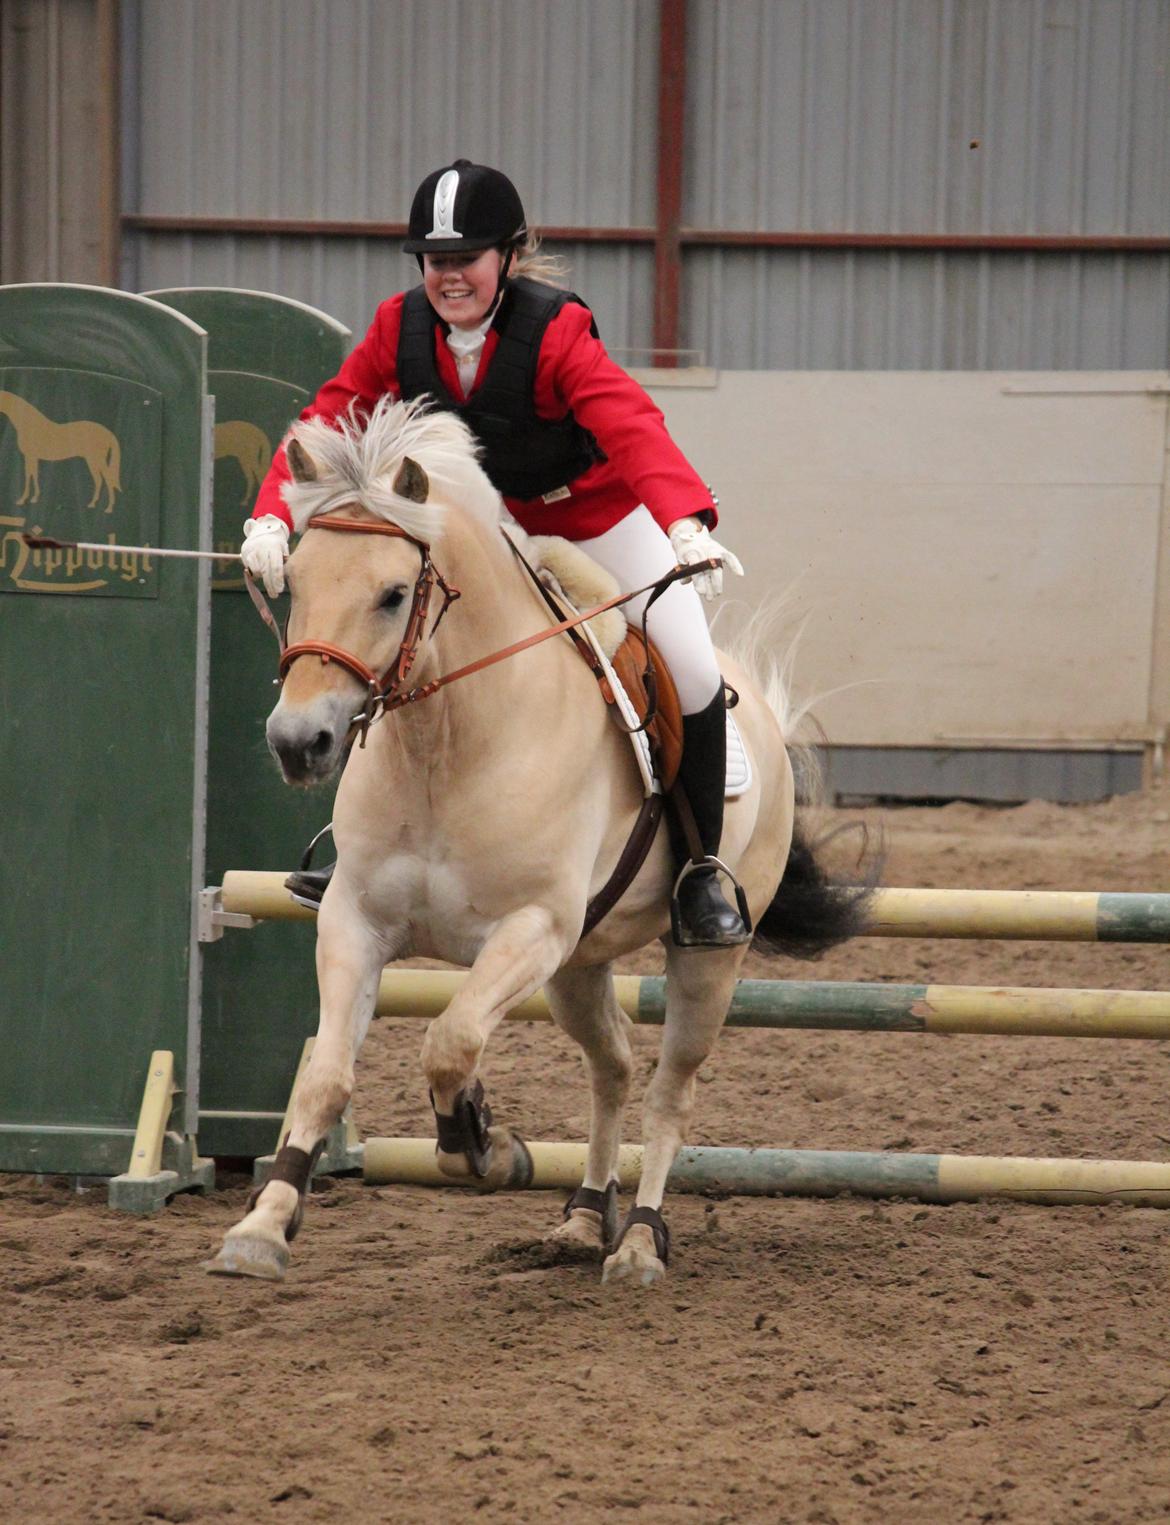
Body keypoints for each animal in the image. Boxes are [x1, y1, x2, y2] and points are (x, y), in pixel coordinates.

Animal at [210, 396, 866, 1287]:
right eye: (296, 583)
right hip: (580, 965)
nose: (297, 742)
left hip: (702, 958)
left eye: (392, 594)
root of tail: (759, 706)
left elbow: (450, 1041)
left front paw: (482, 1143)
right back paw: (585, 1218)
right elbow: (325, 1076)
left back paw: (637, 1241)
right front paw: (264, 1225)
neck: (447, 743)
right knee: (612, 1066)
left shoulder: (532, 929)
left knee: (669, 1089)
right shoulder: (355, 921)